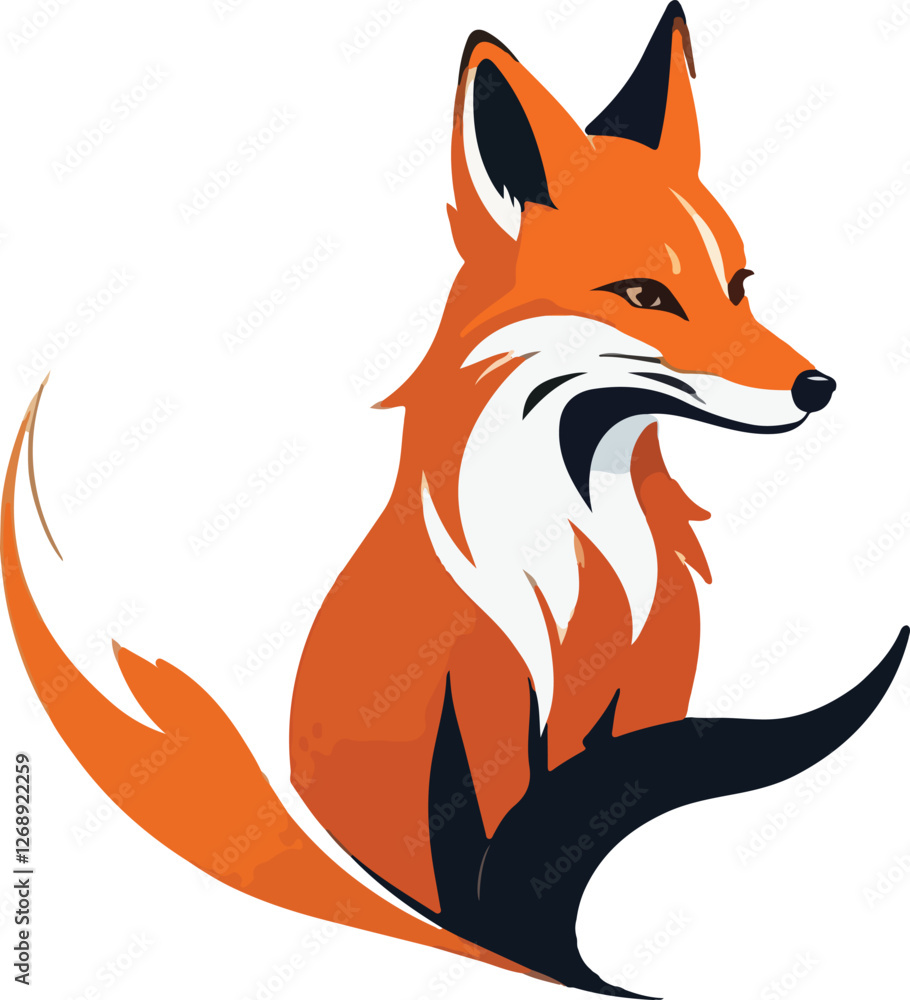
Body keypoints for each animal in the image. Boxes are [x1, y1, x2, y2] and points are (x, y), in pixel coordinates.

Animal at [3, 4, 906, 997]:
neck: (579, 540)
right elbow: (497, 843)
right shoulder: (486, 695)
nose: (818, 387)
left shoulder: (649, 682)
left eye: (740, 287)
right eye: (645, 295)